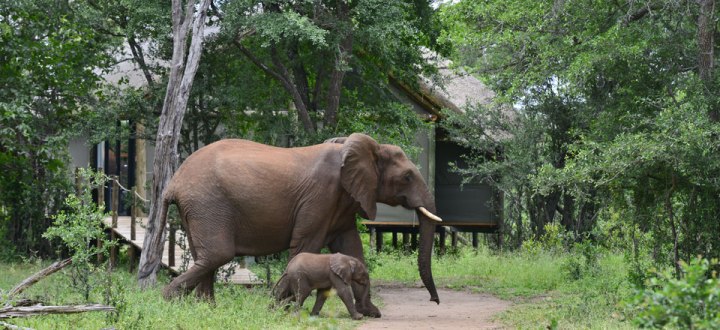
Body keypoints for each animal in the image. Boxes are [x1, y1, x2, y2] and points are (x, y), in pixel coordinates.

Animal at [160, 132, 442, 312]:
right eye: (407, 177)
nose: (434, 302)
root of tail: (173, 183)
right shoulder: (321, 196)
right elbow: (307, 246)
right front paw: (280, 308)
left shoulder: (342, 203)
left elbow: (352, 248)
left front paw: (369, 311)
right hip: (207, 204)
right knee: (218, 255)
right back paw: (168, 300)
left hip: (198, 210)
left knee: (206, 257)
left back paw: (205, 308)